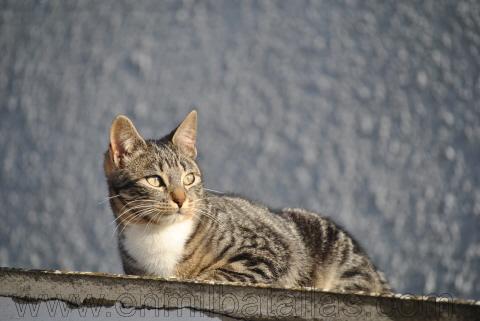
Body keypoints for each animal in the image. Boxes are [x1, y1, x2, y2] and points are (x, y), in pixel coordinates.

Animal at [104, 110, 390, 292]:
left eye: (189, 178)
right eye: (154, 180)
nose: (181, 199)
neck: (159, 234)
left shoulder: (269, 252)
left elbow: (214, 274)